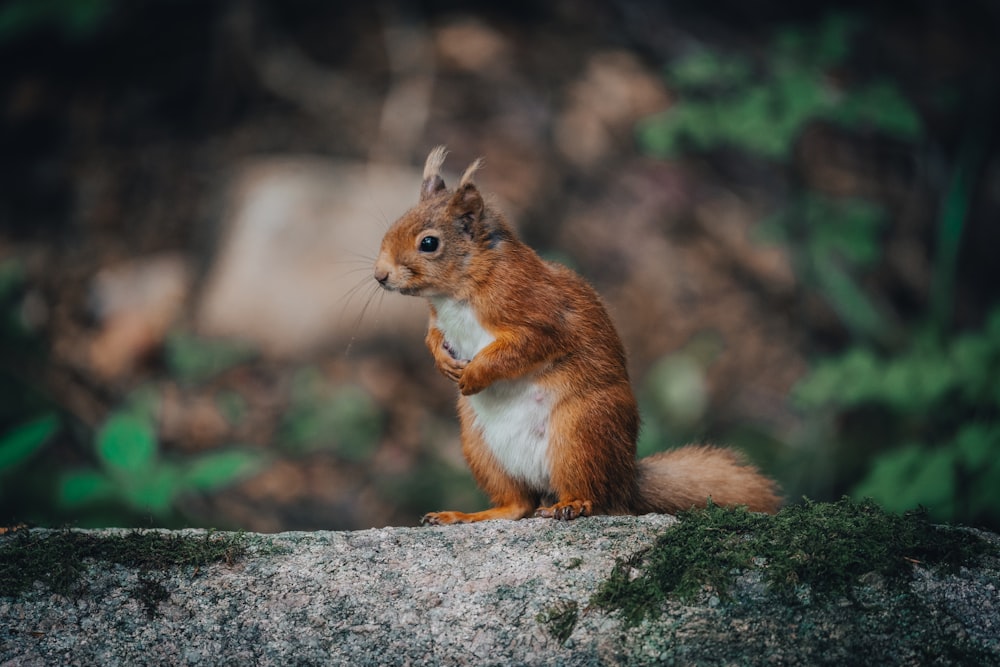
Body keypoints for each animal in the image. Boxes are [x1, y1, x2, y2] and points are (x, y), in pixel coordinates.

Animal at [376, 147, 780, 528]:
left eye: (429, 243)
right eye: (393, 225)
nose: (380, 275)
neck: (457, 291)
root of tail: (625, 481)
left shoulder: (538, 314)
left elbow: (522, 348)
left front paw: (475, 374)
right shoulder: (440, 320)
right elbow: (433, 336)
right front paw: (442, 361)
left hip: (581, 432)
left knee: (592, 497)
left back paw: (571, 505)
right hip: (481, 448)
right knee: (517, 505)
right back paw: (466, 516)